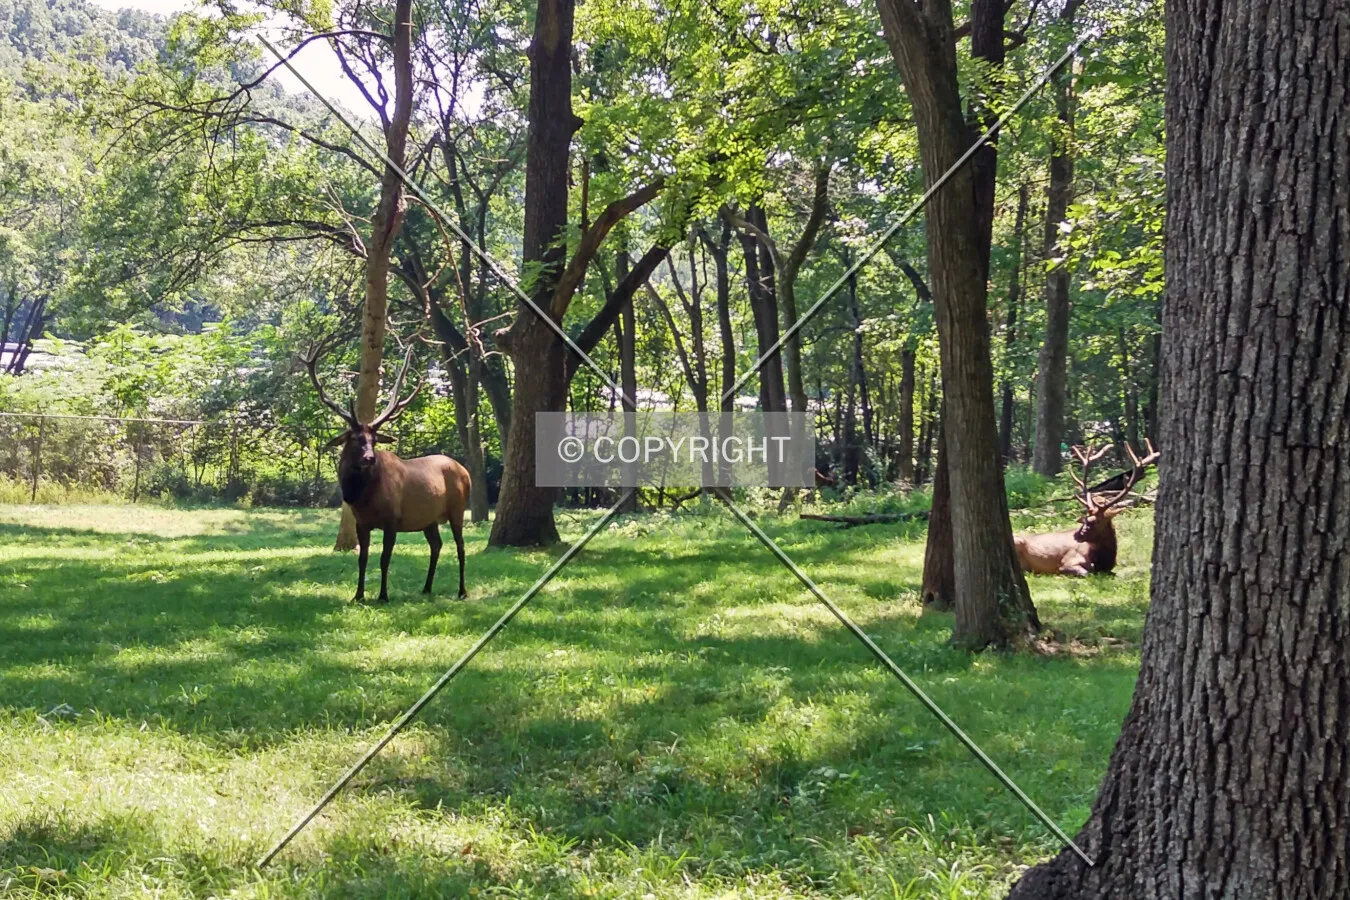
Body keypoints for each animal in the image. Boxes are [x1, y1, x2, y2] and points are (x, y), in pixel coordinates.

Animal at [301, 344, 471, 603]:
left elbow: (384, 559)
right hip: (429, 519)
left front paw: (383, 595)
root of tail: (466, 471)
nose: (370, 458)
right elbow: (362, 559)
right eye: (355, 438)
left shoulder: (393, 519)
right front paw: (358, 595)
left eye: (373, 440)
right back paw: (426, 587)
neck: (362, 498)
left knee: (460, 547)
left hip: (457, 509)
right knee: (437, 545)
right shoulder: (361, 523)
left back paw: (462, 591)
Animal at [1013, 439, 1159, 576]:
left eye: (1095, 521)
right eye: (1085, 519)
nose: (1076, 535)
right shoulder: (1067, 562)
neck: (1103, 561)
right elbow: (1085, 572)